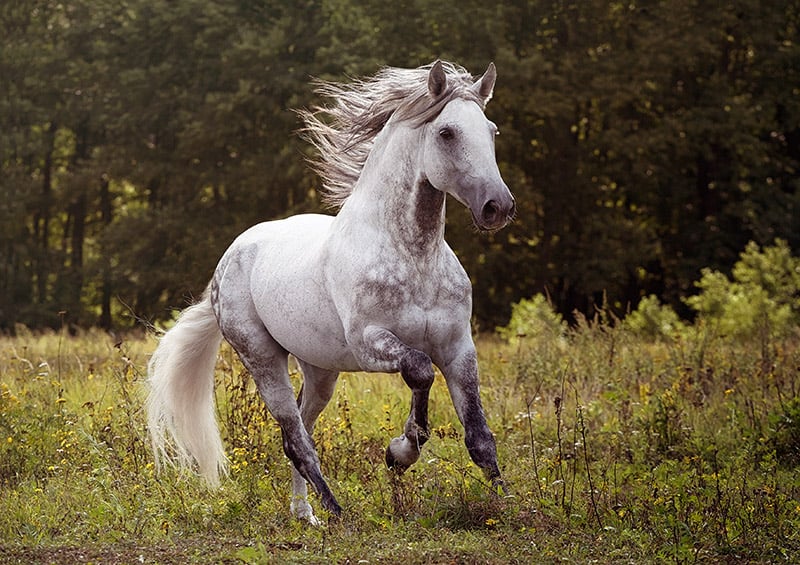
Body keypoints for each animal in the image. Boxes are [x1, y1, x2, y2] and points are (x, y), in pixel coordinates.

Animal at [146, 60, 516, 525]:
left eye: (492, 130)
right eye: (446, 133)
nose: (498, 207)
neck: (414, 257)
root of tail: (227, 261)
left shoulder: (457, 347)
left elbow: (479, 435)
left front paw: (508, 503)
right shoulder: (369, 343)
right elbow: (419, 370)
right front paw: (399, 453)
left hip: (320, 370)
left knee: (303, 428)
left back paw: (305, 514)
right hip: (262, 358)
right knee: (295, 439)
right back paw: (334, 512)